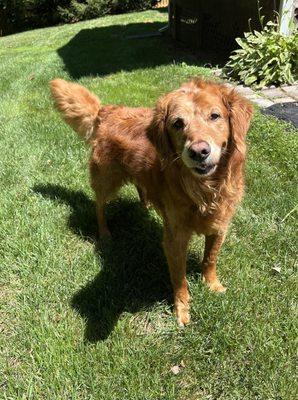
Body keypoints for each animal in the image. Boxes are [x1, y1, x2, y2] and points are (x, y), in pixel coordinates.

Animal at [50, 78, 253, 324]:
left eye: (215, 116)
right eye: (177, 123)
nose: (198, 151)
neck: (205, 190)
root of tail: (107, 110)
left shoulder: (220, 225)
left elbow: (210, 259)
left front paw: (212, 284)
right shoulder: (175, 238)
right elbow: (179, 279)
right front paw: (182, 309)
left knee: (140, 186)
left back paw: (146, 207)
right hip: (107, 180)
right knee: (99, 206)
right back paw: (105, 233)